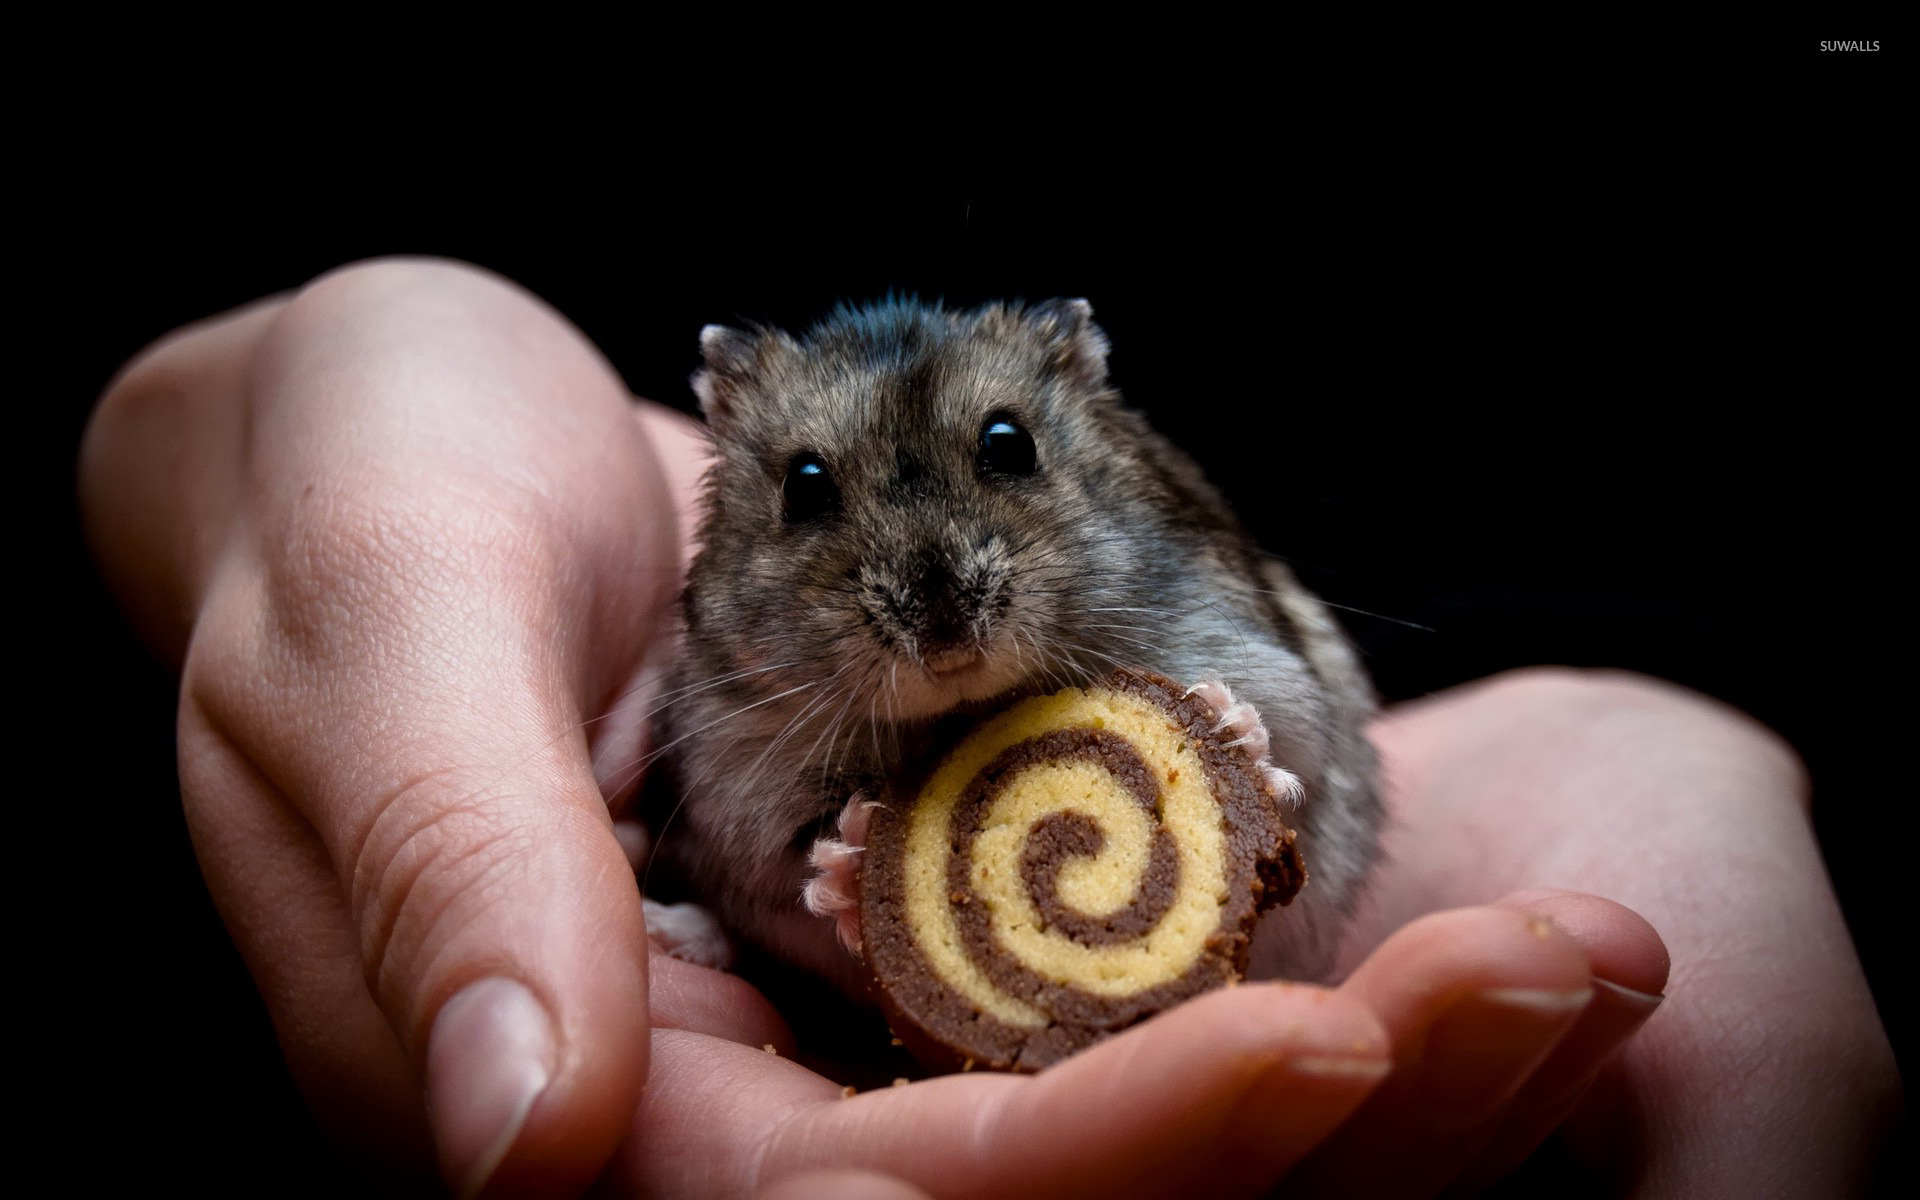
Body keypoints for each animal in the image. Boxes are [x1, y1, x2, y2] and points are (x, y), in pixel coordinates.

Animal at [641, 298, 1380, 998]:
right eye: (804, 483)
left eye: (1010, 443)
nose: (946, 638)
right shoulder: (733, 781)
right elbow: (792, 865)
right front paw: (849, 863)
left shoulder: (1280, 675)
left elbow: (1289, 759)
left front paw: (1230, 727)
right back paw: (672, 932)